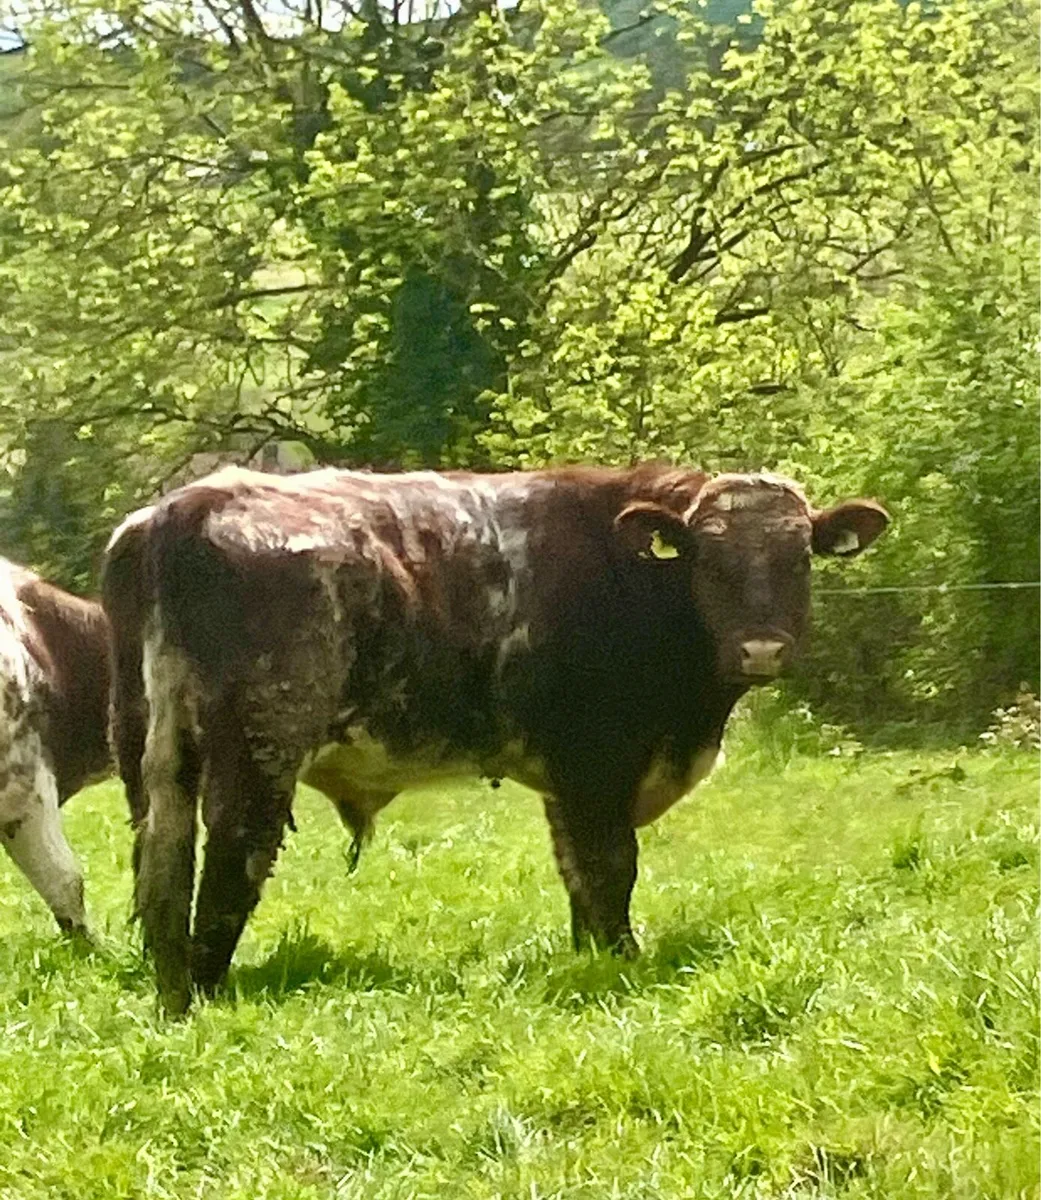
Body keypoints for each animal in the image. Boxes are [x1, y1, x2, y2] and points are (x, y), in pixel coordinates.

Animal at [102, 465, 888, 1013]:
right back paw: (207, 990)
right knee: (233, 859)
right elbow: (610, 870)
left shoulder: (565, 781)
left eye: (798, 560)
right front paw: (621, 961)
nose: (761, 649)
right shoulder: (596, 763)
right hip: (259, 747)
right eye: (710, 562)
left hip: (148, 751)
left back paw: (174, 989)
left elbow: (576, 875)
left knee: (159, 863)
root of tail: (191, 504)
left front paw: (590, 956)